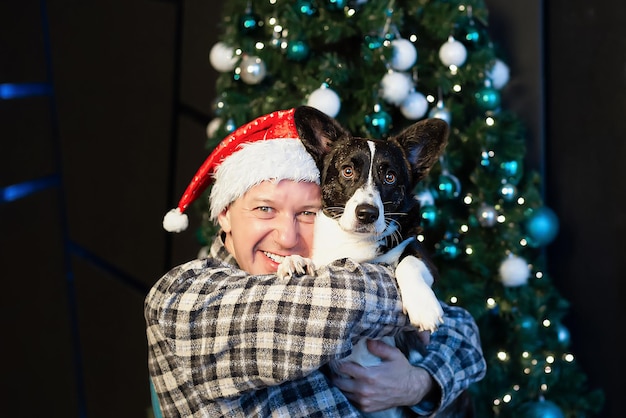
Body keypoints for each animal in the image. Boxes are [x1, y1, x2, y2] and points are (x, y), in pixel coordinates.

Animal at [278, 107, 468, 418]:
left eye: (390, 177)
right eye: (347, 171)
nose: (367, 213)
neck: (354, 242)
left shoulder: (422, 255)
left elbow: (406, 263)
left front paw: (424, 308)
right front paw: (294, 261)